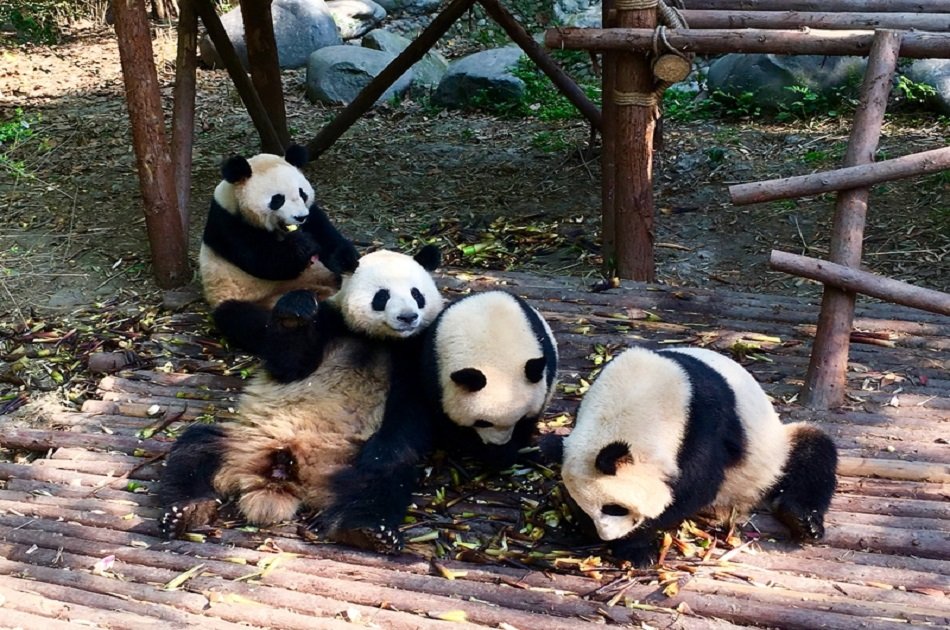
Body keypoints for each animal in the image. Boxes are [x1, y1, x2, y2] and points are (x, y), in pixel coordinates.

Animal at [159, 246, 443, 553]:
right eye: (382, 296)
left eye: (417, 294)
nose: (407, 317)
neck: (376, 339)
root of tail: (286, 475)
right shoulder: (330, 324)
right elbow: (288, 365)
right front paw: (294, 312)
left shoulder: (414, 351)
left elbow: (410, 410)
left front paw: (381, 451)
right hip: (243, 441)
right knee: (195, 449)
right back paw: (186, 511)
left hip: (343, 460)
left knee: (382, 482)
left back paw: (368, 530)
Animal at [199, 144, 358, 353]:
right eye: (277, 199)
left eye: (302, 193)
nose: (300, 217)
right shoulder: (226, 223)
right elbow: (266, 262)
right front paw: (302, 246)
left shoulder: (312, 214)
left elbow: (327, 235)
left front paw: (347, 259)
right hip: (233, 295)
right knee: (249, 322)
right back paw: (296, 311)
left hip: (325, 276)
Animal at [421, 290, 559, 467]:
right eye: (482, 422)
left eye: (520, 418)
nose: (498, 444)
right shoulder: (437, 374)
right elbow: (451, 425)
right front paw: (490, 454)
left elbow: (529, 422)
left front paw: (508, 452)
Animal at [541, 346, 838, 567]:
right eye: (585, 507)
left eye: (614, 508)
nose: (607, 534)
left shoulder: (702, 422)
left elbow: (696, 487)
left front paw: (635, 547)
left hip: (772, 449)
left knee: (814, 454)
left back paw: (803, 520)